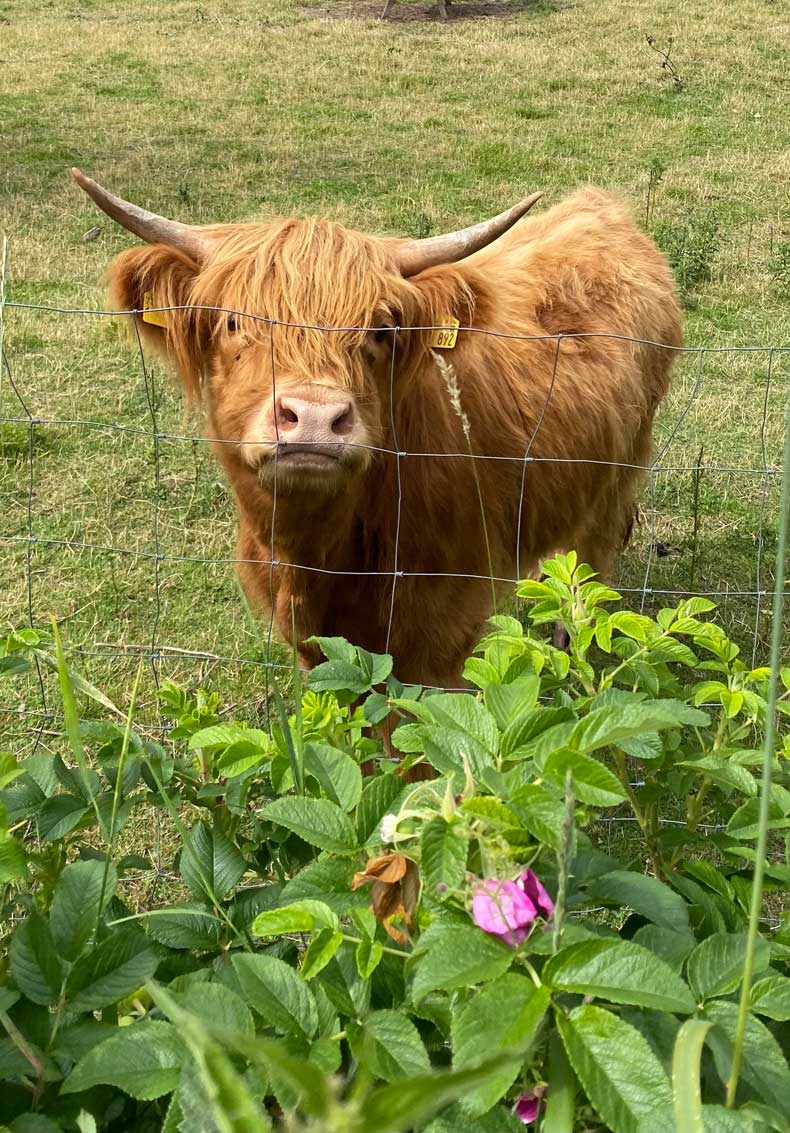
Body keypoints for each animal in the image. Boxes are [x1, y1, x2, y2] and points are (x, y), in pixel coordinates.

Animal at [72, 168, 680, 684]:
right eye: (234, 322)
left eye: (380, 330)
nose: (315, 418)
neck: (319, 556)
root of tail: (600, 206)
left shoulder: (440, 636)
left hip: (617, 480)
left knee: (588, 572)